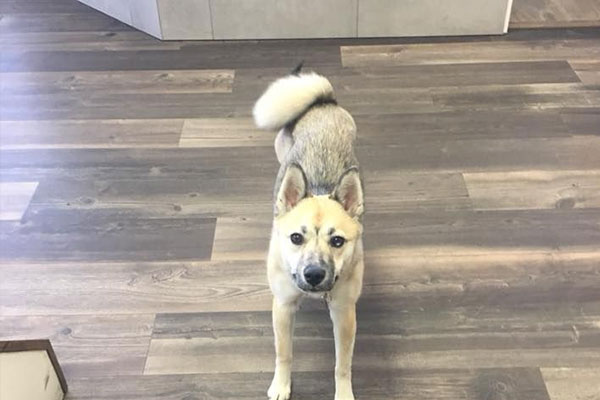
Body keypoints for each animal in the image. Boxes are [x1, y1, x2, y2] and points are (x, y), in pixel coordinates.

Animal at [254, 65, 366, 400]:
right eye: (295, 238)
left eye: (337, 241)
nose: (314, 274)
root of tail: (323, 102)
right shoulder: (282, 307)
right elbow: (284, 353)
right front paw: (281, 385)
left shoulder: (344, 313)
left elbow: (342, 364)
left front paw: (343, 394)